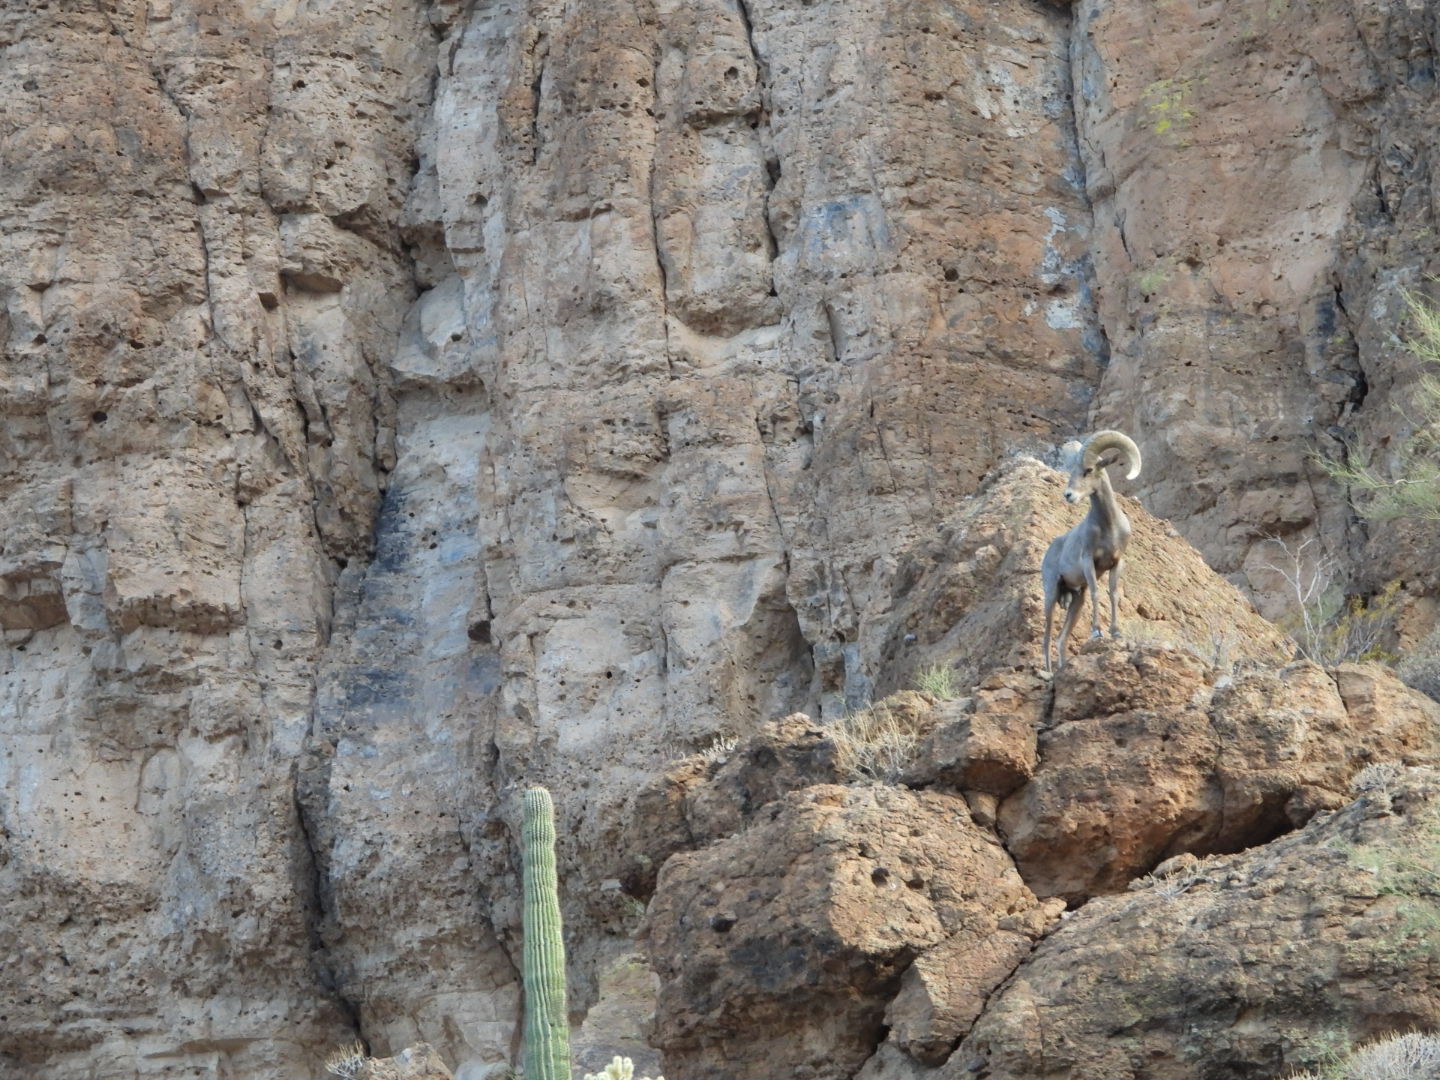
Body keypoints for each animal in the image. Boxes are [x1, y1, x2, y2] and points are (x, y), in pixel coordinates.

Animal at [1040, 430, 1143, 673]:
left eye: (1087, 470)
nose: (1068, 495)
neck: (1109, 528)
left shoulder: (1117, 563)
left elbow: (1113, 593)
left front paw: (1115, 632)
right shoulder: (1089, 562)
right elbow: (1097, 592)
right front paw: (1097, 631)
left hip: (1077, 600)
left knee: (1060, 640)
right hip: (1051, 594)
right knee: (1046, 638)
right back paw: (1048, 672)